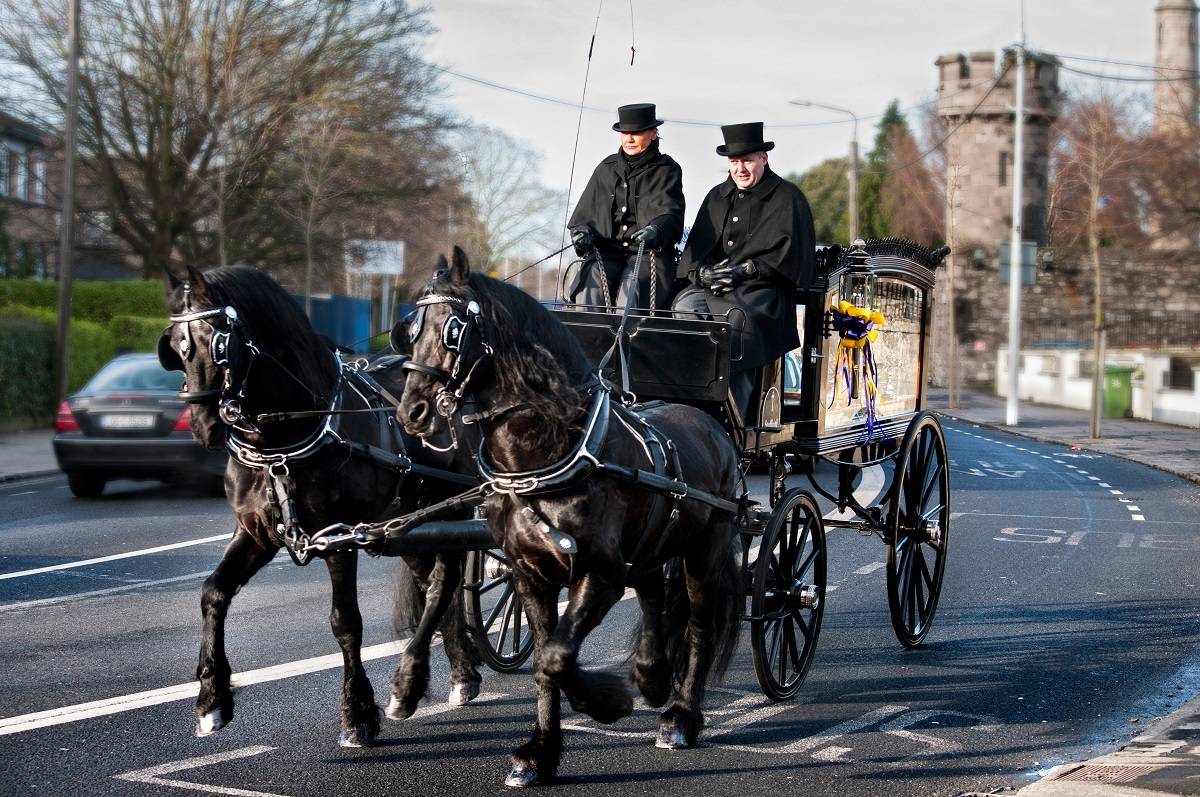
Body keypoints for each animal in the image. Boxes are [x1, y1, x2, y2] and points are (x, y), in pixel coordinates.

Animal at [159, 266, 482, 748]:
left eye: (220, 342)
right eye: (177, 344)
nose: (204, 426)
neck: (283, 443)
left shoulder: (338, 538)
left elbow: (345, 621)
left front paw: (358, 715)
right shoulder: (254, 534)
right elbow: (213, 593)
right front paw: (212, 701)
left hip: (453, 510)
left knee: (443, 587)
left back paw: (413, 686)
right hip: (411, 525)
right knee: (434, 590)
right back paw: (458, 674)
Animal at [398, 252, 744, 787]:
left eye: (453, 329)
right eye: (410, 329)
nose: (410, 411)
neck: (553, 450)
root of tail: (713, 426)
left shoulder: (599, 575)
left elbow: (557, 658)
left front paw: (606, 703)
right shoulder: (529, 576)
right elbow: (546, 661)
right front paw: (540, 753)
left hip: (704, 553)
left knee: (700, 626)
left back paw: (682, 717)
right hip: (650, 547)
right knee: (652, 593)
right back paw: (651, 675)